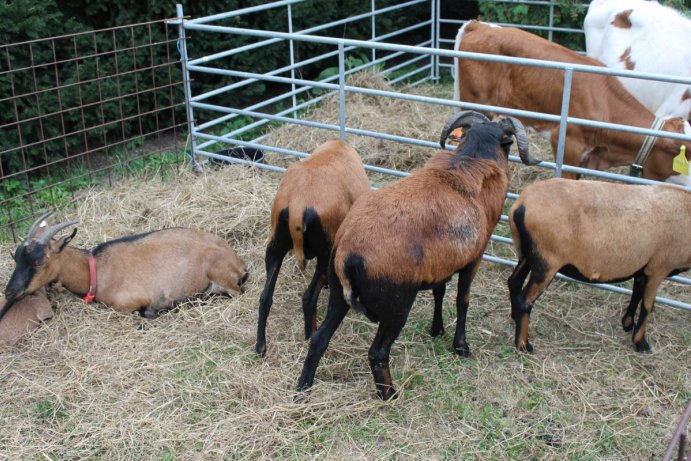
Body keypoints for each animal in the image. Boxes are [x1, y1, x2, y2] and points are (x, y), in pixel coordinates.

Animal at [1, 212, 250, 320]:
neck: (96, 270)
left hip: (223, 278)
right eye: (16, 257)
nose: (10, 291)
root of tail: (236, 259)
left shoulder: (132, 300)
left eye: (39, 260)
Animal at [255, 140, 374, 356]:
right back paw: (309, 335)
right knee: (308, 298)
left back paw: (260, 347)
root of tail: (297, 205)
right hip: (326, 251)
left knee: (265, 298)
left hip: (275, 245)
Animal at [296, 111, 540, 398]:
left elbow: (439, 292)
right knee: (377, 352)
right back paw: (389, 394)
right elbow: (462, 300)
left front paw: (437, 329)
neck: (471, 160)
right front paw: (461, 346)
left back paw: (303, 389)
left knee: (319, 339)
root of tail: (347, 251)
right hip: (397, 303)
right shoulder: (474, 258)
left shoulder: (442, 265)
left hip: (336, 291)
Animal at [506, 178, 688, 354]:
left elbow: (636, 294)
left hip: (527, 254)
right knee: (525, 300)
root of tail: (520, 205)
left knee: (514, 282)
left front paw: (628, 324)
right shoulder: (658, 268)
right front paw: (641, 343)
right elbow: (647, 305)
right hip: (547, 261)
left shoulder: (642, 268)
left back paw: (515, 318)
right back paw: (523, 345)